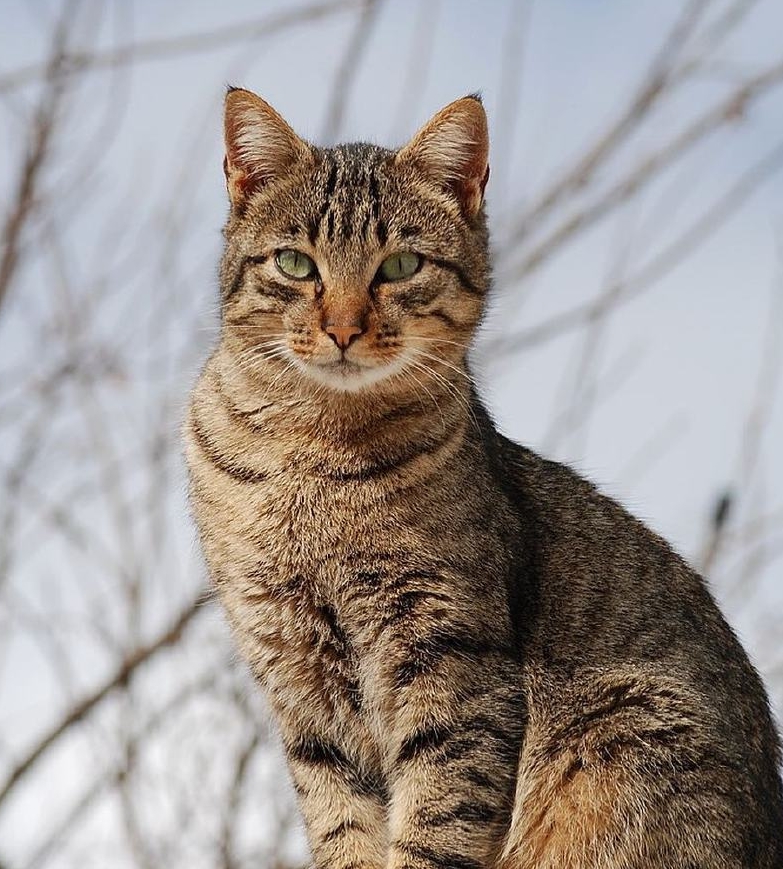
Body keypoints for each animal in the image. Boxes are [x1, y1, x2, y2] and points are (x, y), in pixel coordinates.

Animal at [185, 90, 783, 868]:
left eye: (400, 265)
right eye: (294, 263)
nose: (343, 328)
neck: (315, 455)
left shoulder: (452, 659)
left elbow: (436, 822)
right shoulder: (297, 680)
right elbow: (342, 824)